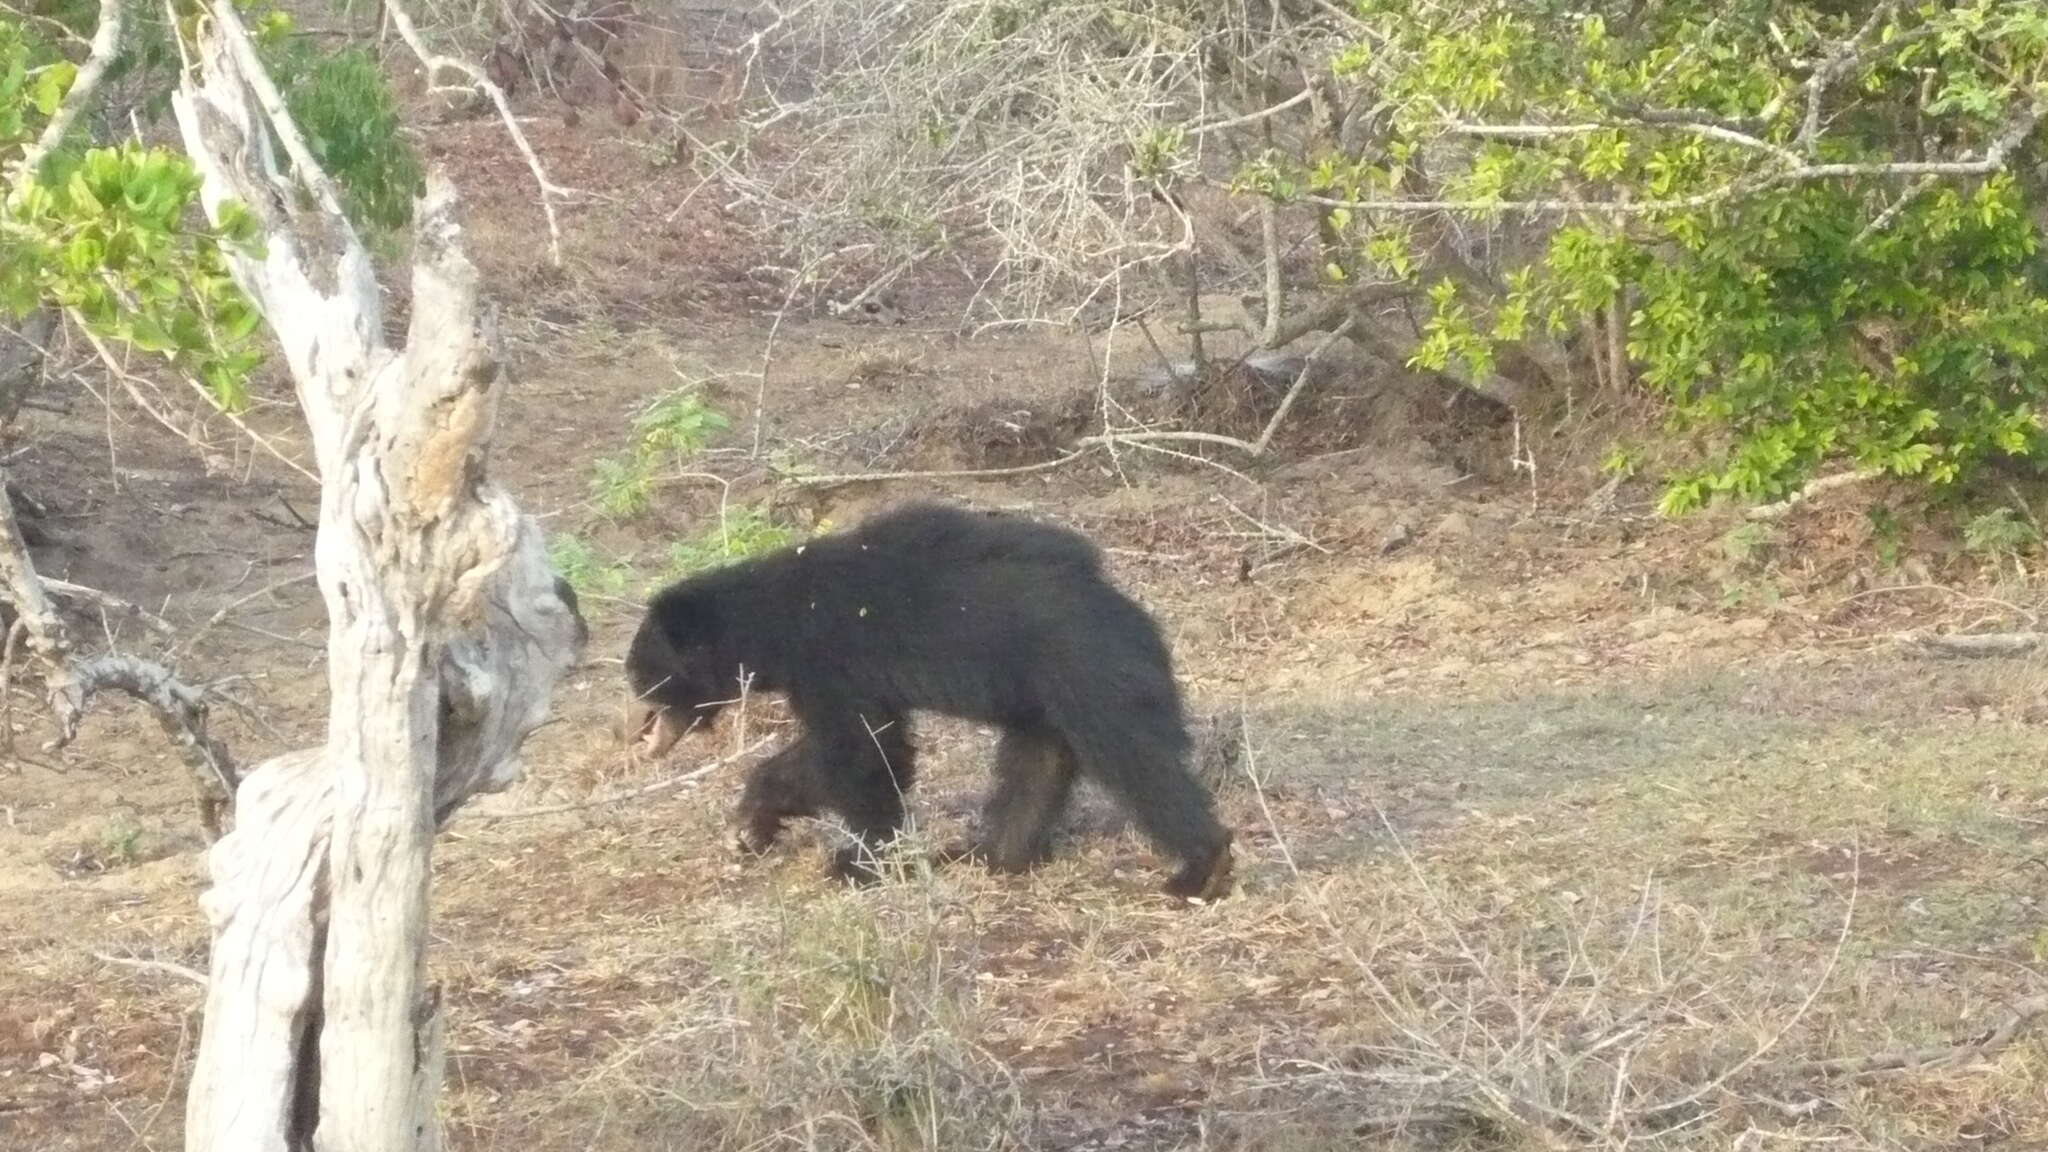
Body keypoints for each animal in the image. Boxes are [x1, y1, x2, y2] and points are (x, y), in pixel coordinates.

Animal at [622, 500, 1228, 897]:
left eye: (643, 673)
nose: (634, 731)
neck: (772, 622)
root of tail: (1135, 616)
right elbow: (853, 748)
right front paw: (753, 827)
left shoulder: (832, 660)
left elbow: (862, 753)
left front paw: (856, 860)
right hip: (1041, 704)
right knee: (1034, 771)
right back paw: (990, 854)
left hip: (1091, 679)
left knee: (1141, 765)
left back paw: (1200, 869)